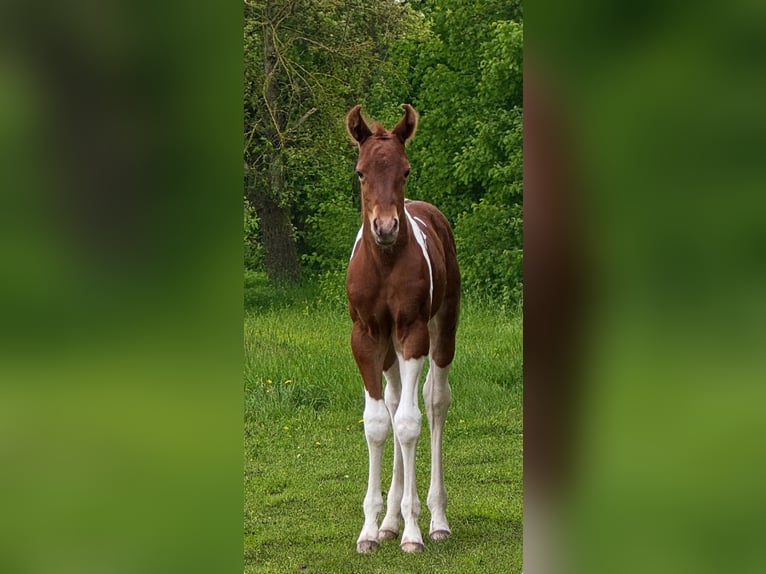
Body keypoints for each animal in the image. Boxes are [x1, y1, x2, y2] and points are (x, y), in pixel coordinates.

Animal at [345, 104, 460, 553]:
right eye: (360, 172)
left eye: (405, 170)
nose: (385, 227)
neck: (385, 263)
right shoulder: (365, 337)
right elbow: (379, 423)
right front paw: (371, 530)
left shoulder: (413, 333)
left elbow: (411, 423)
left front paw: (414, 532)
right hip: (389, 348)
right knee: (395, 403)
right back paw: (389, 522)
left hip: (442, 328)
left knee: (434, 401)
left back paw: (437, 520)